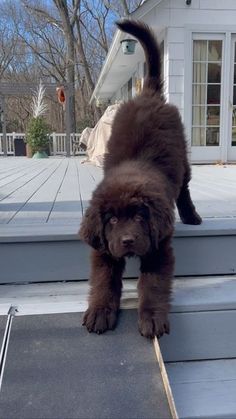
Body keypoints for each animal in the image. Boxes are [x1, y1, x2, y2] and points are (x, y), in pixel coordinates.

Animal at [79, 20, 201, 342]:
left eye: (139, 216)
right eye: (111, 220)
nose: (128, 240)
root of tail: (148, 94)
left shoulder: (159, 248)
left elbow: (154, 285)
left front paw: (152, 319)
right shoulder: (103, 249)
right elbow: (103, 281)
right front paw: (99, 312)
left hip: (182, 156)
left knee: (184, 188)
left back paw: (192, 216)